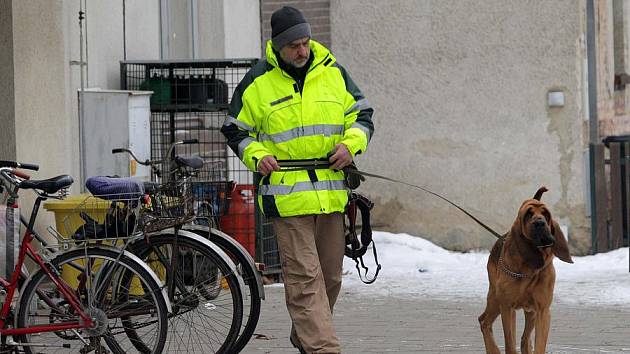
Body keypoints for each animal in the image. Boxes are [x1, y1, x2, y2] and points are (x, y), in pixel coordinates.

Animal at [482, 187, 576, 352]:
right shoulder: (507, 307)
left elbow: (539, 345)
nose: (539, 222)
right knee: (484, 321)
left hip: (530, 312)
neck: (529, 268)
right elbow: (509, 344)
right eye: (528, 214)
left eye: (546, 213)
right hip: (495, 299)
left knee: (525, 338)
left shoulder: (542, 311)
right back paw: (493, 350)